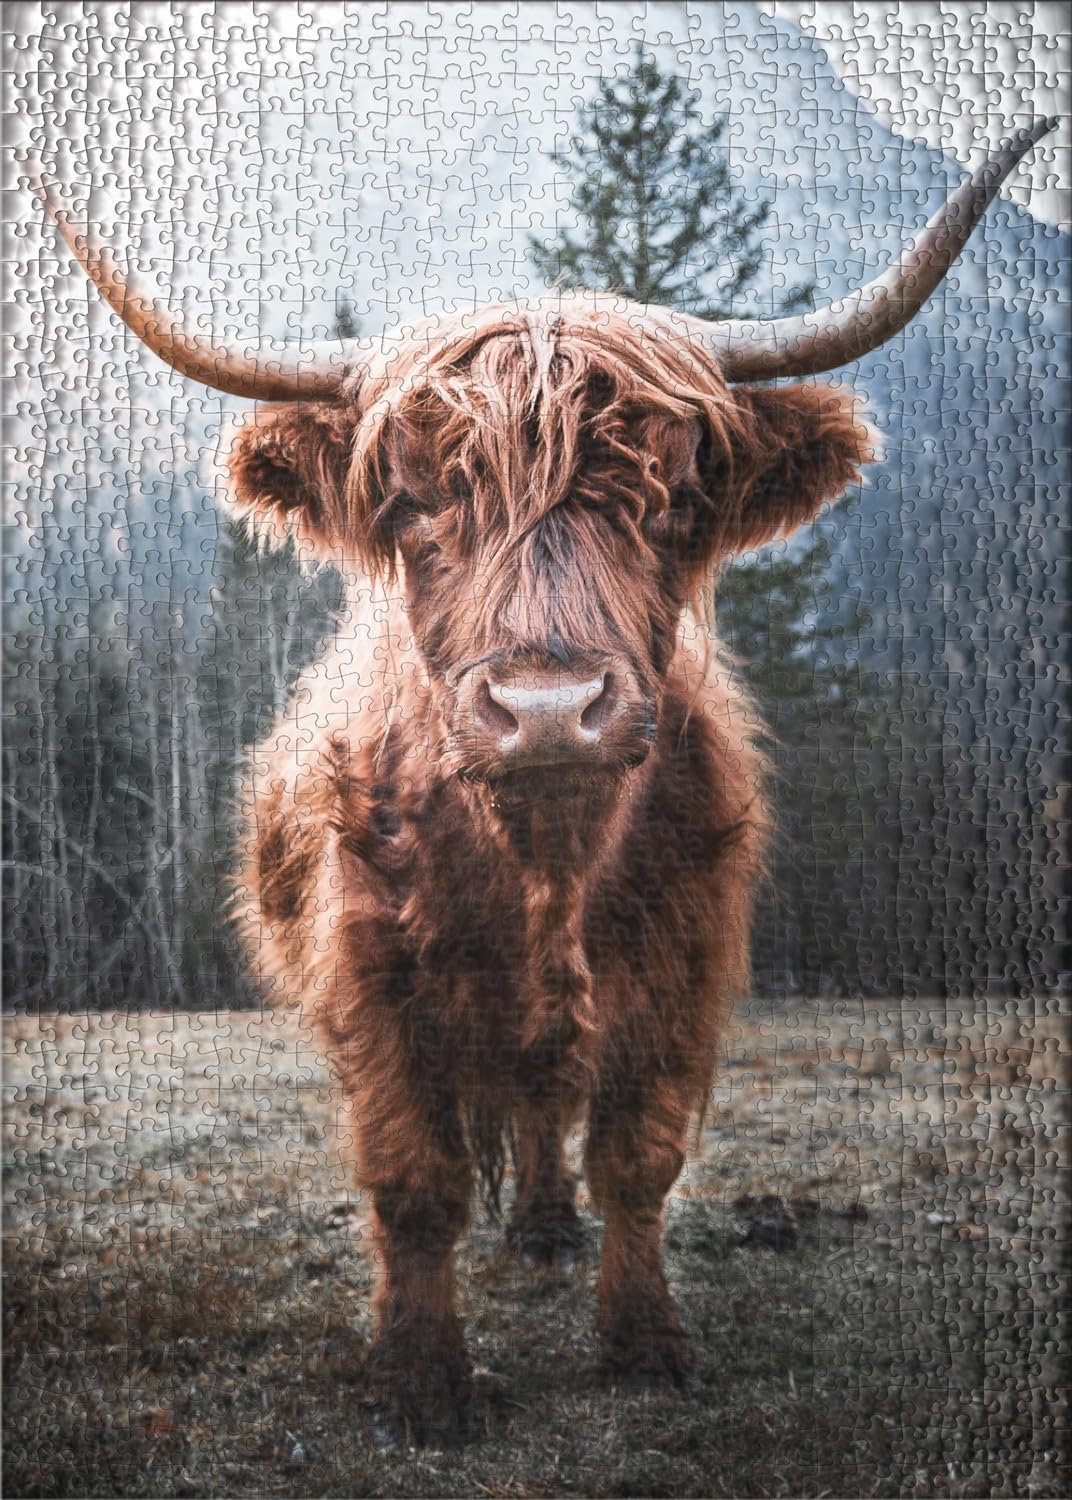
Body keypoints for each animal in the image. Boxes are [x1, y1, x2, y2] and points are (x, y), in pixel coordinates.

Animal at [27, 118, 1054, 1449]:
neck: (544, 863)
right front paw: (419, 1381)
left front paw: (645, 1342)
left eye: (672, 498)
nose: (550, 709)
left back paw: (549, 1232)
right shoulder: (373, 978)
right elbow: (414, 1182)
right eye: (412, 501)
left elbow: (637, 1158)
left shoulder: (679, 969)